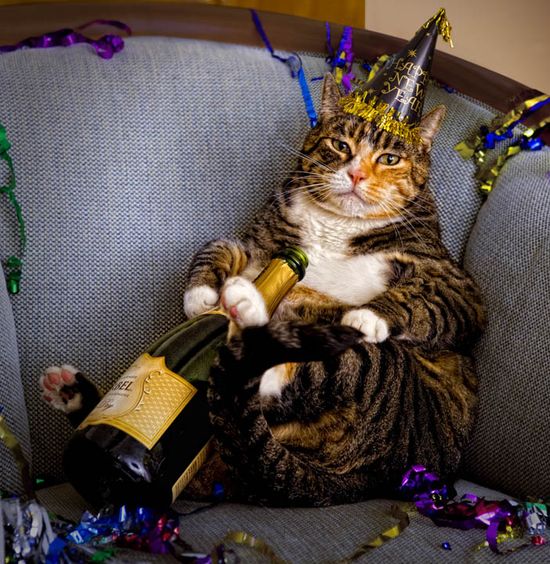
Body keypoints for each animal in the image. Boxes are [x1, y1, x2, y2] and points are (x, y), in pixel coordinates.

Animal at [42, 74, 488, 506]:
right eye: (340, 144)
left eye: (390, 159)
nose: (356, 174)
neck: (335, 227)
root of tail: (362, 480)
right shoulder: (261, 246)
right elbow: (217, 247)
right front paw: (201, 298)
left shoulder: (455, 285)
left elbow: (426, 299)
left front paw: (368, 314)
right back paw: (72, 392)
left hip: (377, 370)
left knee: (285, 375)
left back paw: (247, 314)